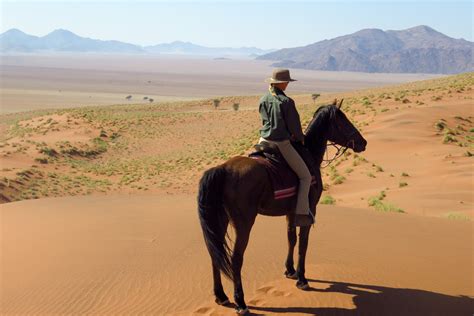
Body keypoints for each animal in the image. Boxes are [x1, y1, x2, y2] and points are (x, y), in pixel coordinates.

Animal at [196, 99, 366, 314]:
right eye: (343, 121)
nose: (363, 143)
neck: (309, 155)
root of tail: (222, 169)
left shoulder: (291, 212)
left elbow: (291, 239)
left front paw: (290, 271)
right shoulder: (308, 210)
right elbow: (303, 243)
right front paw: (302, 279)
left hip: (220, 219)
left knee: (215, 254)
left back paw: (221, 296)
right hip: (243, 224)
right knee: (235, 258)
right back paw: (240, 302)